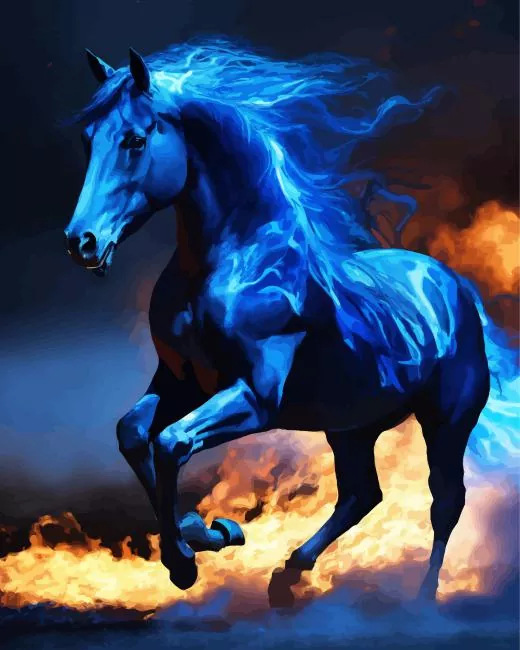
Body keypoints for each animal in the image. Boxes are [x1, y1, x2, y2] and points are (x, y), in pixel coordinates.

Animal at [63, 41, 503, 604]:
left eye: (136, 140)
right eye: (87, 139)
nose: (82, 241)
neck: (236, 261)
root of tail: (451, 285)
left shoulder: (254, 397)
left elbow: (172, 442)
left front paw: (187, 556)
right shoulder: (181, 382)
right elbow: (135, 434)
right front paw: (207, 533)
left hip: (446, 423)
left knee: (444, 502)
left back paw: (422, 601)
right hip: (351, 425)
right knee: (362, 493)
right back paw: (289, 572)